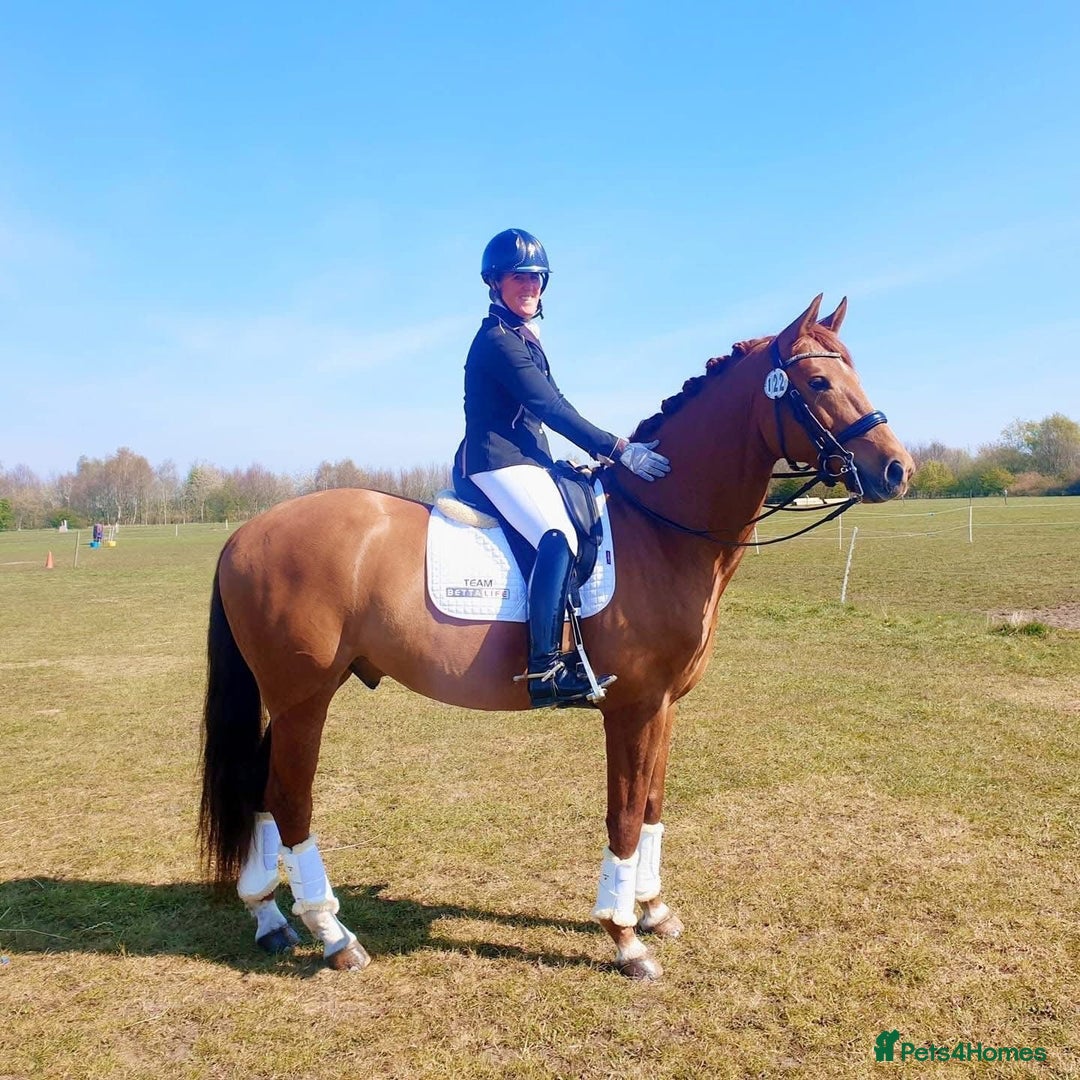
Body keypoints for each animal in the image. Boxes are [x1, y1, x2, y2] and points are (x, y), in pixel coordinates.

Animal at [199, 295, 913, 980]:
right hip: (304, 698)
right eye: (818, 381)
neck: (661, 529)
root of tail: (244, 534)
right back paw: (333, 934)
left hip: (290, 700)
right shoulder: (631, 708)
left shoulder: (664, 706)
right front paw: (624, 938)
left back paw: (271, 918)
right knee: (290, 799)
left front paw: (653, 910)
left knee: (262, 790)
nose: (897, 471)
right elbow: (624, 814)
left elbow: (652, 805)